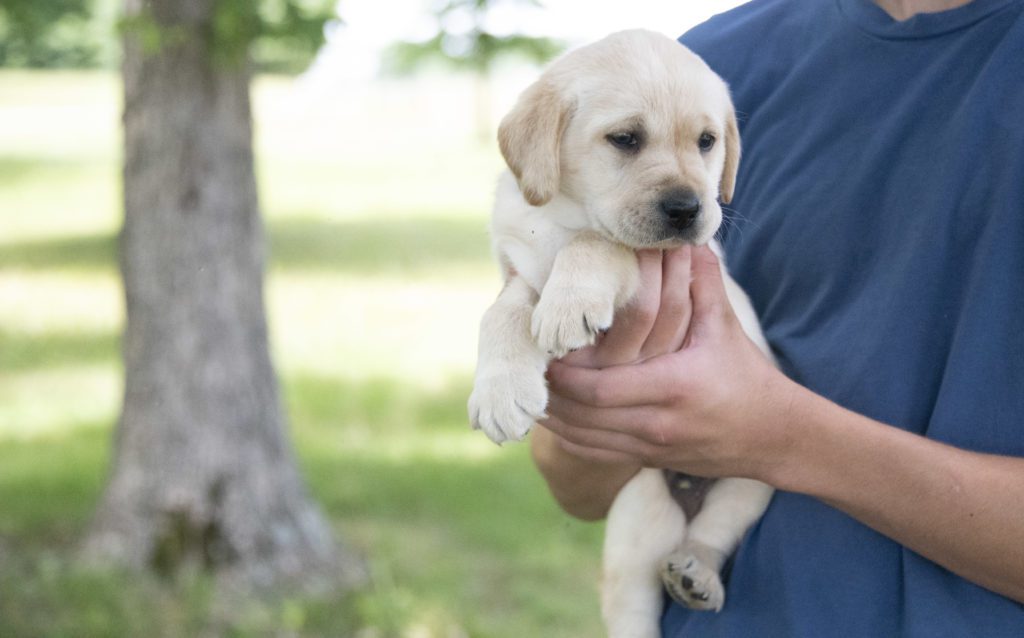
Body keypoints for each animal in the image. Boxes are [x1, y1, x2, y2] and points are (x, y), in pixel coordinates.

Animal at [471, 29, 774, 638]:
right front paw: (500, 390)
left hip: (752, 483)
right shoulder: (521, 271)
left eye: (707, 141)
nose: (688, 208)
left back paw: (699, 574)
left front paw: (569, 305)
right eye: (626, 139)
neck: (564, 218)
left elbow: (602, 242)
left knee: (714, 532)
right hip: (635, 524)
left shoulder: (654, 257)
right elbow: (503, 314)